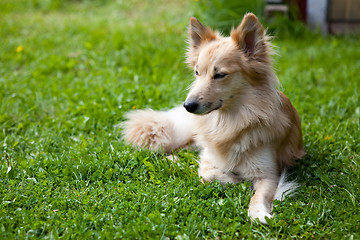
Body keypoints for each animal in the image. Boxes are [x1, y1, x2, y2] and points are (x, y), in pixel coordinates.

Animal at [122, 12, 306, 223]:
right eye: (197, 72)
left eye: (220, 75)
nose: (188, 106)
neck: (230, 122)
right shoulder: (208, 159)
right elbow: (207, 173)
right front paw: (236, 179)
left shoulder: (269, 174)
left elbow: (259, 195)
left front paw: (258, 212)